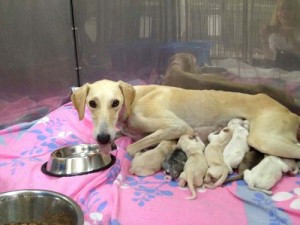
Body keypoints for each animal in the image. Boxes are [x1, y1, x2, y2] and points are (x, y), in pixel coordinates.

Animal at [71, 79, 300, 160]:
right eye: (92, 103)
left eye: (115, 103)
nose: (102, 138)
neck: (134, 99)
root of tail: (291, 112)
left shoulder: (179, 126)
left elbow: (131, 147)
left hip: (263, 139)